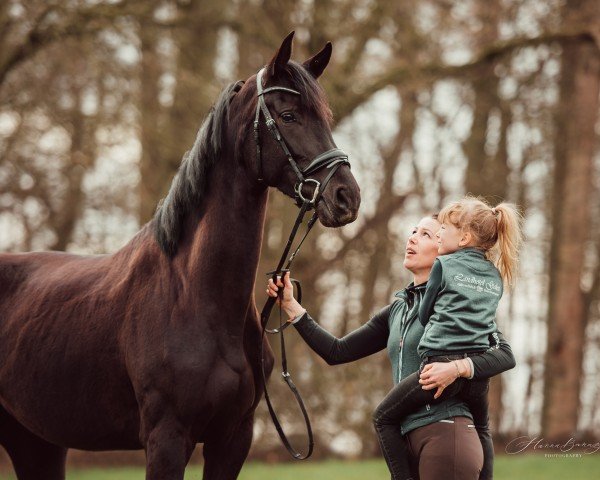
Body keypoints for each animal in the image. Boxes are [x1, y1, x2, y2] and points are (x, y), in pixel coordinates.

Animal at [0, 31, 360, 478]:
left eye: (325, 116)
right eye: (290, 115)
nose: (347, 197)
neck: (193, 295)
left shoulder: (232, 440)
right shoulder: (167, 439)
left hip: (37, 442)